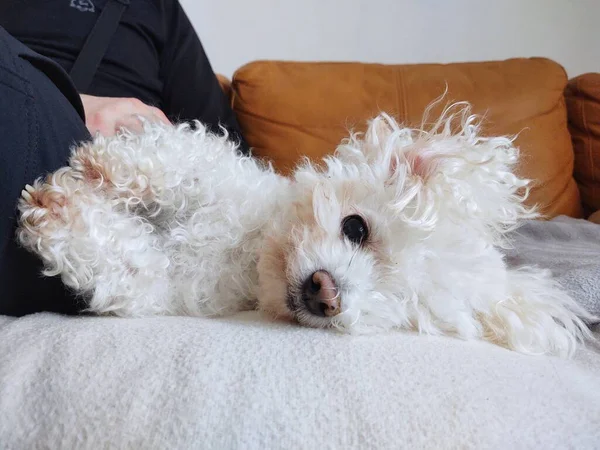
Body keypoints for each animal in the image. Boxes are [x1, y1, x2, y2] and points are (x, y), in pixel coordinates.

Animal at [17, 103, 596, 356]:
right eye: (356, 227)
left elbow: (131, 267)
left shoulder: (176, 285)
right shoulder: (218, 176)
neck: (245, 252)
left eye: (400, 309)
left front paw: (59, 209)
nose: (326, 295)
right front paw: (107, 165)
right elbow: (182, 159)